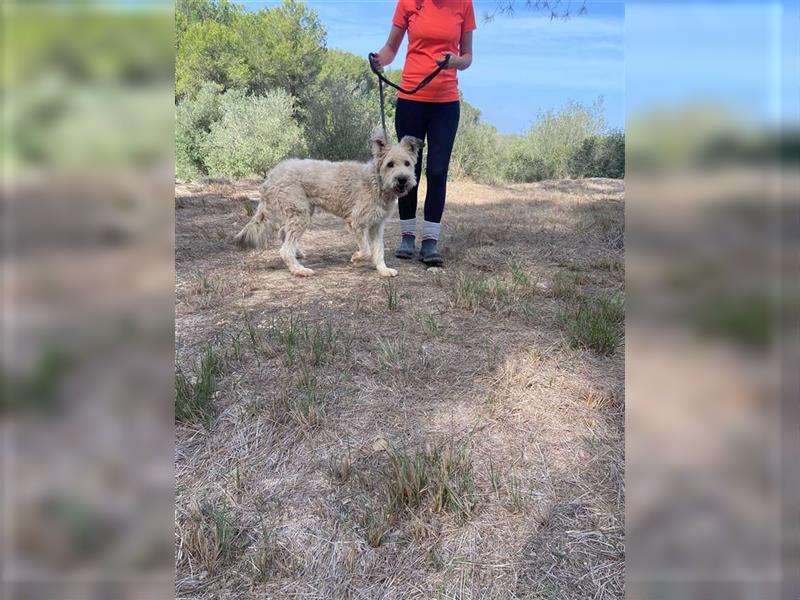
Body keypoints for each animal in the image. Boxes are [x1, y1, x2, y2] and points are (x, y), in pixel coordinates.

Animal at [234, 127, 422, 278]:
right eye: (390, 164)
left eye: (407, 163)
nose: (402, 179)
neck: (376, 181)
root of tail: (272, 174)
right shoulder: (356, 222)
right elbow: (367, 250)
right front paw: (356, 257)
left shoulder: (376, 226)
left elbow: (378, 250)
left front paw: (383, 270)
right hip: (300, 214)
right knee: (285, 249)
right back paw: (299, 270)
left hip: (301, 212)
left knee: (283, 233)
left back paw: (298, 254)